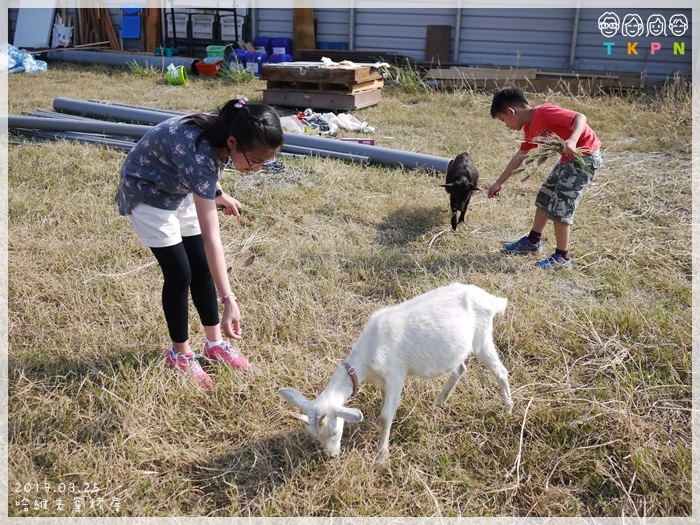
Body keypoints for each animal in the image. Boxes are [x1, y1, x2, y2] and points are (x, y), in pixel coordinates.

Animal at [278, 282, 516, 458]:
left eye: (335, 431)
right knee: (460, 368)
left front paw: (381, 455)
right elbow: (384, 404)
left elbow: (387, 416)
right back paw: (440, 401)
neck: (366, 357)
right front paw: (374, 424)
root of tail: (491, 300)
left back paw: (509, 407)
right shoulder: (382, 381)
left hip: (482, 338)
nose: (332, 455)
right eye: (314, 436)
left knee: (500, 372)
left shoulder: (396, 376)